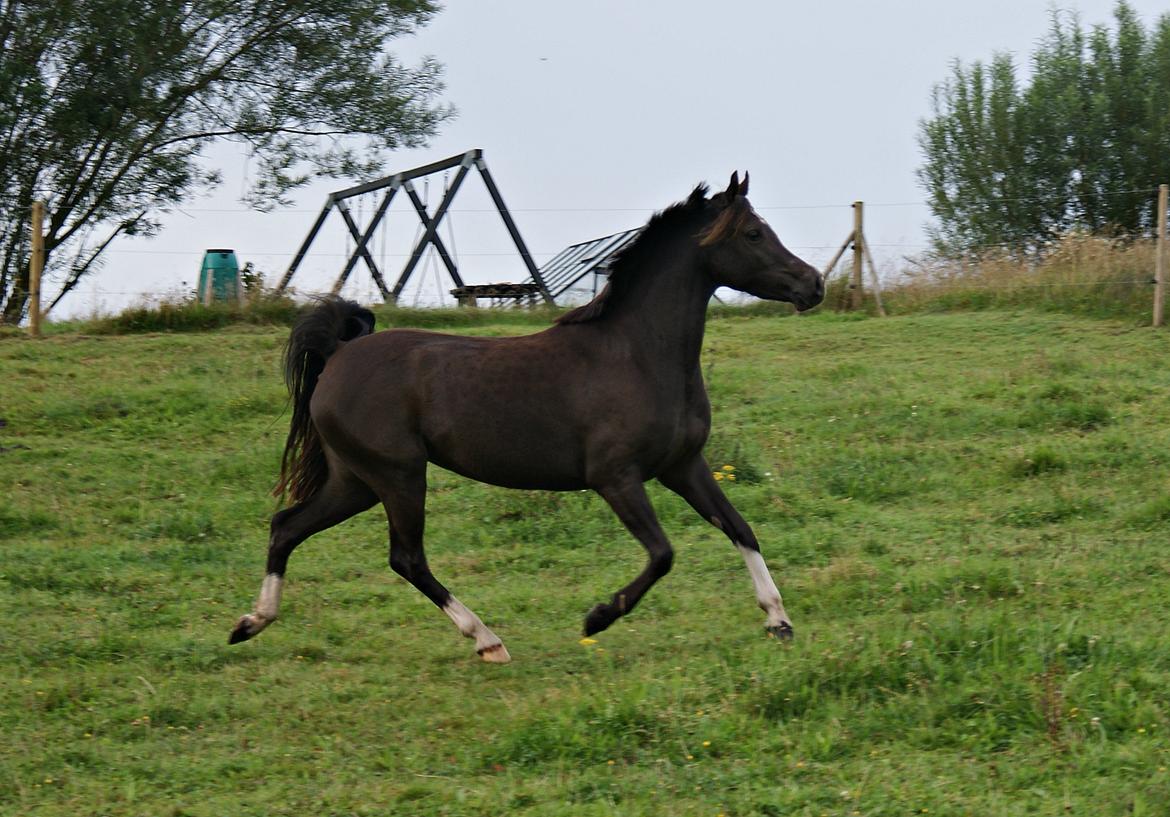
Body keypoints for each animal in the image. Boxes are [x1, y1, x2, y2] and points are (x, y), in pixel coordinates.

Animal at [230, 173, 823, 660]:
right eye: (753, 234)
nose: (813, 284)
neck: (637, 354)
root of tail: (339, 354)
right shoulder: (616, 478)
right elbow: (663, 554)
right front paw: (598, 617)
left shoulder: (684, 466)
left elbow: (741, 529)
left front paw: (779, 620)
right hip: (397, 475)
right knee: (406, 557)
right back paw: (487, 640)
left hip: (355, 481)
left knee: (287, 527)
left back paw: (251, 623)